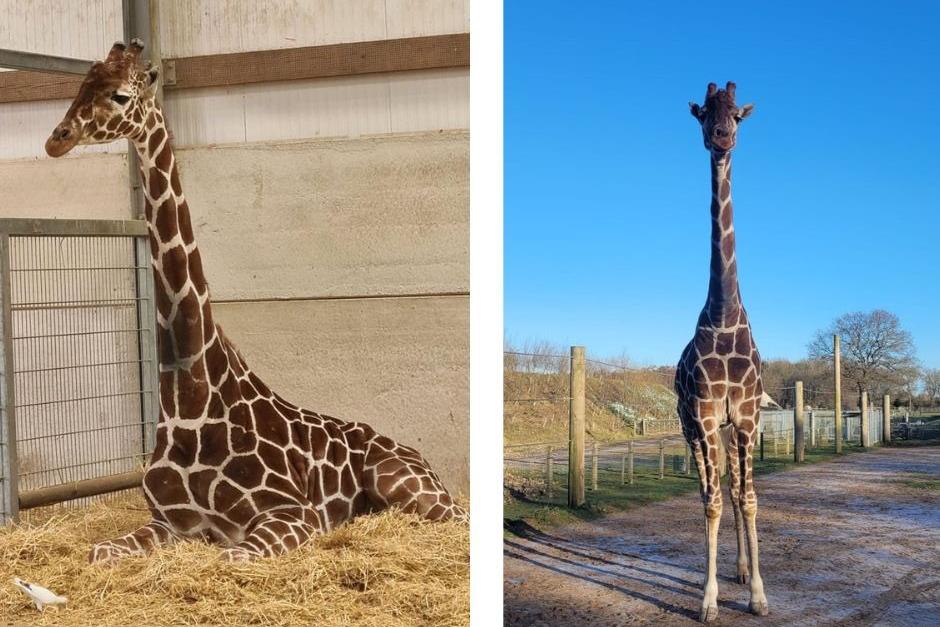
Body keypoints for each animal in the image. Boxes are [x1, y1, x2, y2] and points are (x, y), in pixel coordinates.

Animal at [44, 40, 466, 563]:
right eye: (80, 86)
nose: (57, 138)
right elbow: (99, 552)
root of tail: (416, 453)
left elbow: (232, 557)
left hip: (406, 486)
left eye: (120, 95)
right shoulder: (168, 522)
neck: (189, 403)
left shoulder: (292, 514)